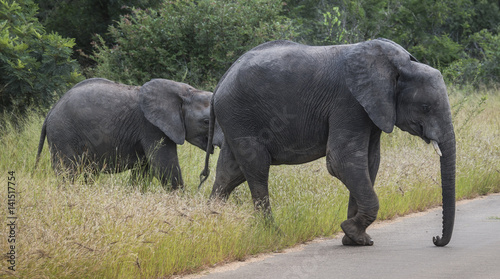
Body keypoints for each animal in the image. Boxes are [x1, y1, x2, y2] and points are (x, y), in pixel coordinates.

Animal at [37, 77, 219, 189]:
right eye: (206, 122)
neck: (185, 91)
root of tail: (51, 111)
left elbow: (144, 171)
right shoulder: (151, 127)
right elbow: (164, 166)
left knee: (88, 173)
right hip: (63, 134)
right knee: (68, 172)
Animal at [202, 38, 458, 247]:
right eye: (425, 107)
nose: (435, 238)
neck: (400, 65)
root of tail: (221, 82)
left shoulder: (373, 108)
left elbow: (368, 162)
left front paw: (355, 240)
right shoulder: (349, 102)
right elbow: (341, 160)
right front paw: (352, 232)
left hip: (235, 119)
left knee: (229, 173)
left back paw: (212, 222)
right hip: (240, 116)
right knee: (256, 169)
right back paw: (273, 234)